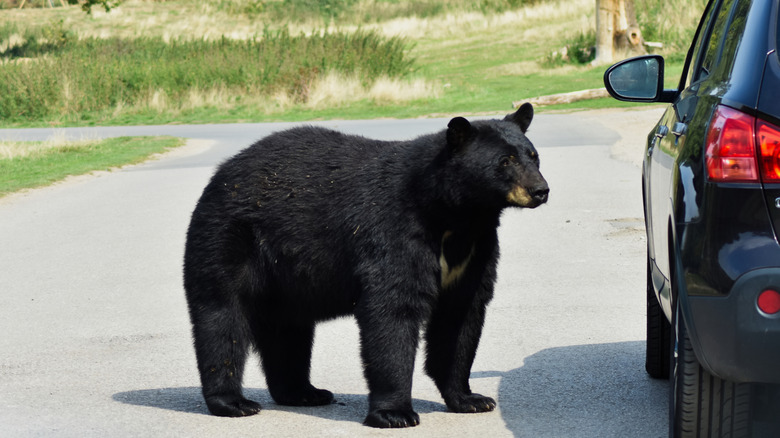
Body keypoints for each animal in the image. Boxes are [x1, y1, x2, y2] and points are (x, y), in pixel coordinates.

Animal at [183, 102, 548, 428]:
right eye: (504, 161)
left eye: (533, 156)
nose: (540, 190)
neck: (454, 216)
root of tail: (221, 173)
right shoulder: (395, 231)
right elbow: (392, 311)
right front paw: (395, 413)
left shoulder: (474, 251)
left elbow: (461, 317)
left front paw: (470, 399)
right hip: (227, 238)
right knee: (221, 319)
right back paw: (233, 402)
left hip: (287, 279)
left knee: (288, 331)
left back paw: (304, 392)